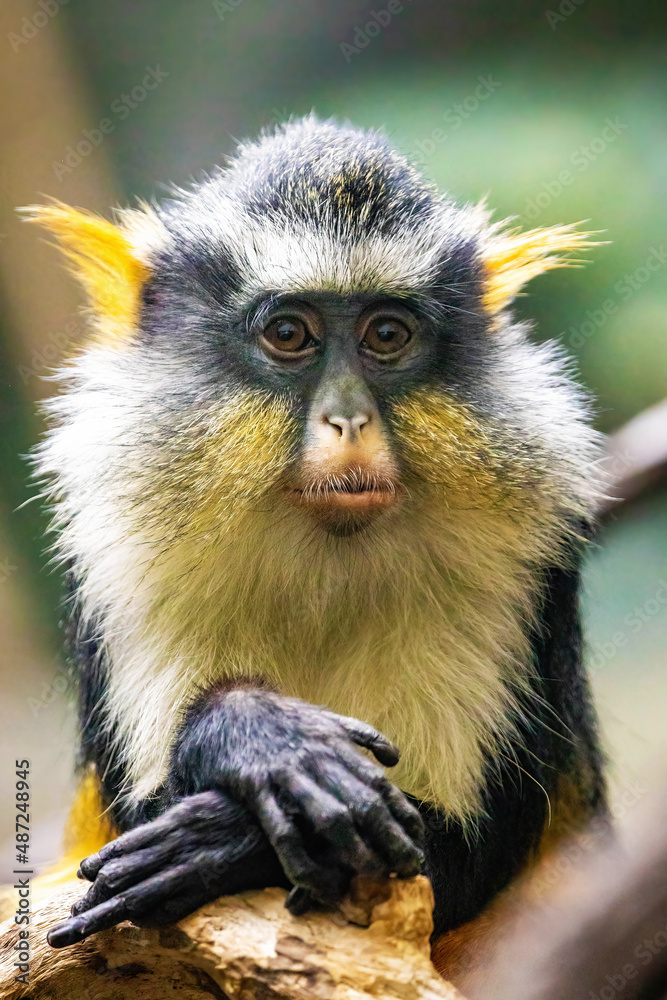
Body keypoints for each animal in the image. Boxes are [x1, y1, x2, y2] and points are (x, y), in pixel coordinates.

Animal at [24, 115, 606, 979]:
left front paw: (222, 841)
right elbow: (128, 829)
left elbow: (455, 859)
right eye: (289, 334)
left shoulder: (526, 559)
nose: (347, 420)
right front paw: (260, 739)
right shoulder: (113, 555)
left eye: (386, 335)